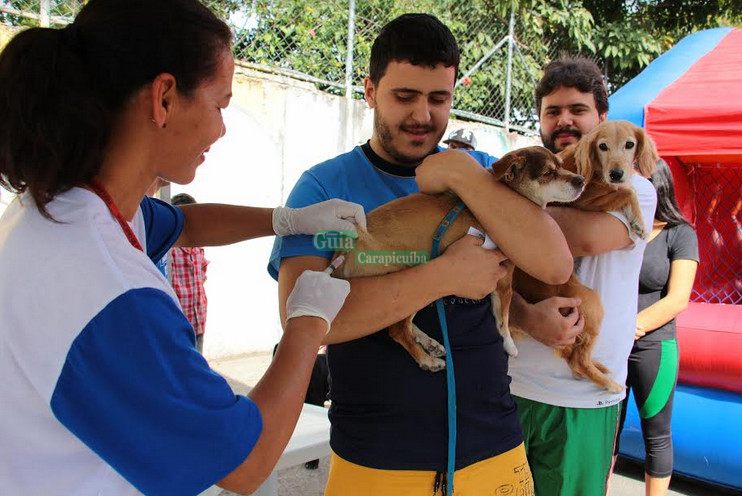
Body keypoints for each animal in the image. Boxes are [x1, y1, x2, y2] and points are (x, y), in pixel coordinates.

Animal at [332, 147, 588, 372]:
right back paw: (427, 360)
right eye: (548, 173)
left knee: (402, 323)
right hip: (417, 278)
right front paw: (510, 346)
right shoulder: (504, 280)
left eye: (562, 166)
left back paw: (429, 343)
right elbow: (503, 319)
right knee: (397, 329)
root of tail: (345, 249)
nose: (581, 180)